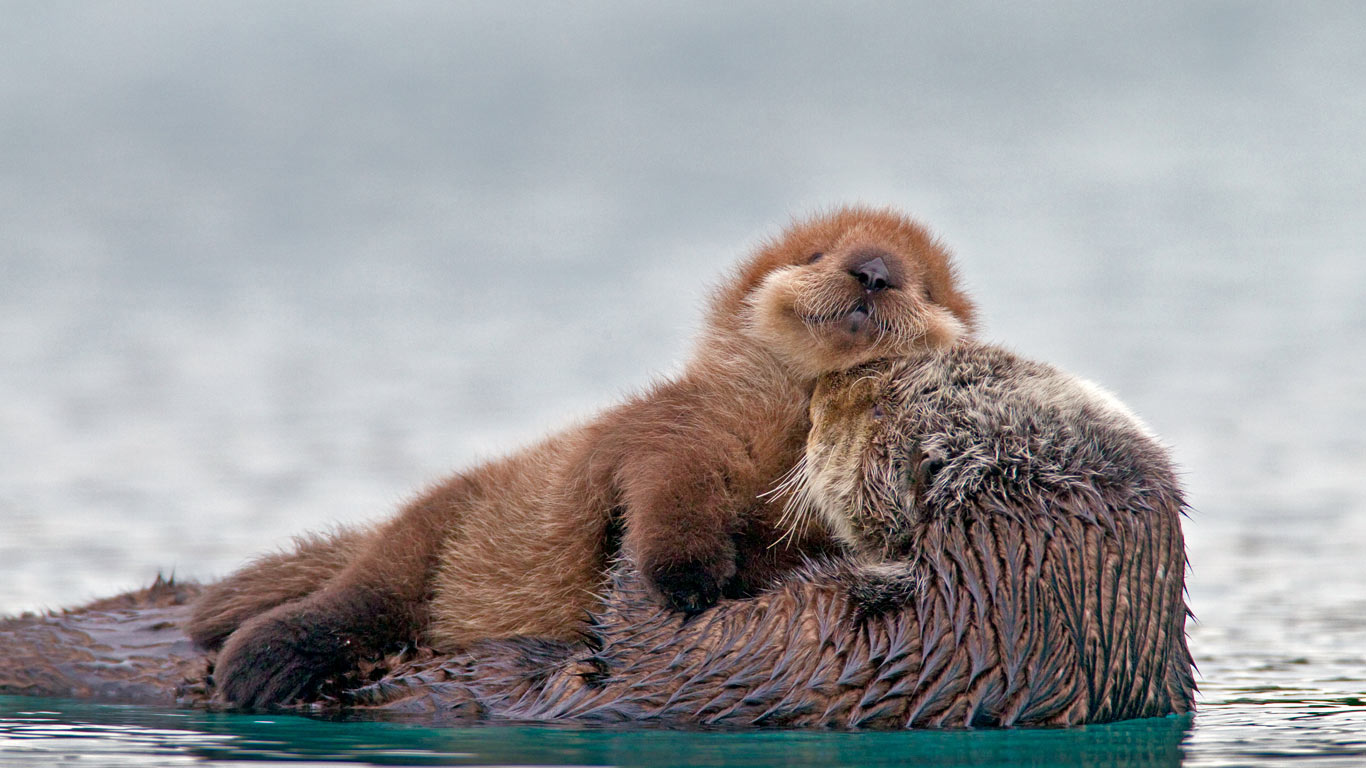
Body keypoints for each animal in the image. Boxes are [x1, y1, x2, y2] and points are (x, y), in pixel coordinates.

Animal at [184, 207, 978, 709]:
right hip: (424, 535)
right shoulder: (675, 427)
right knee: (356, 601)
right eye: (815, 255)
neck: (786, 422)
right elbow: (666, 487)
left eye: (923, 284)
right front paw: (687, 576)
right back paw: (261, 661)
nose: (872, 270)